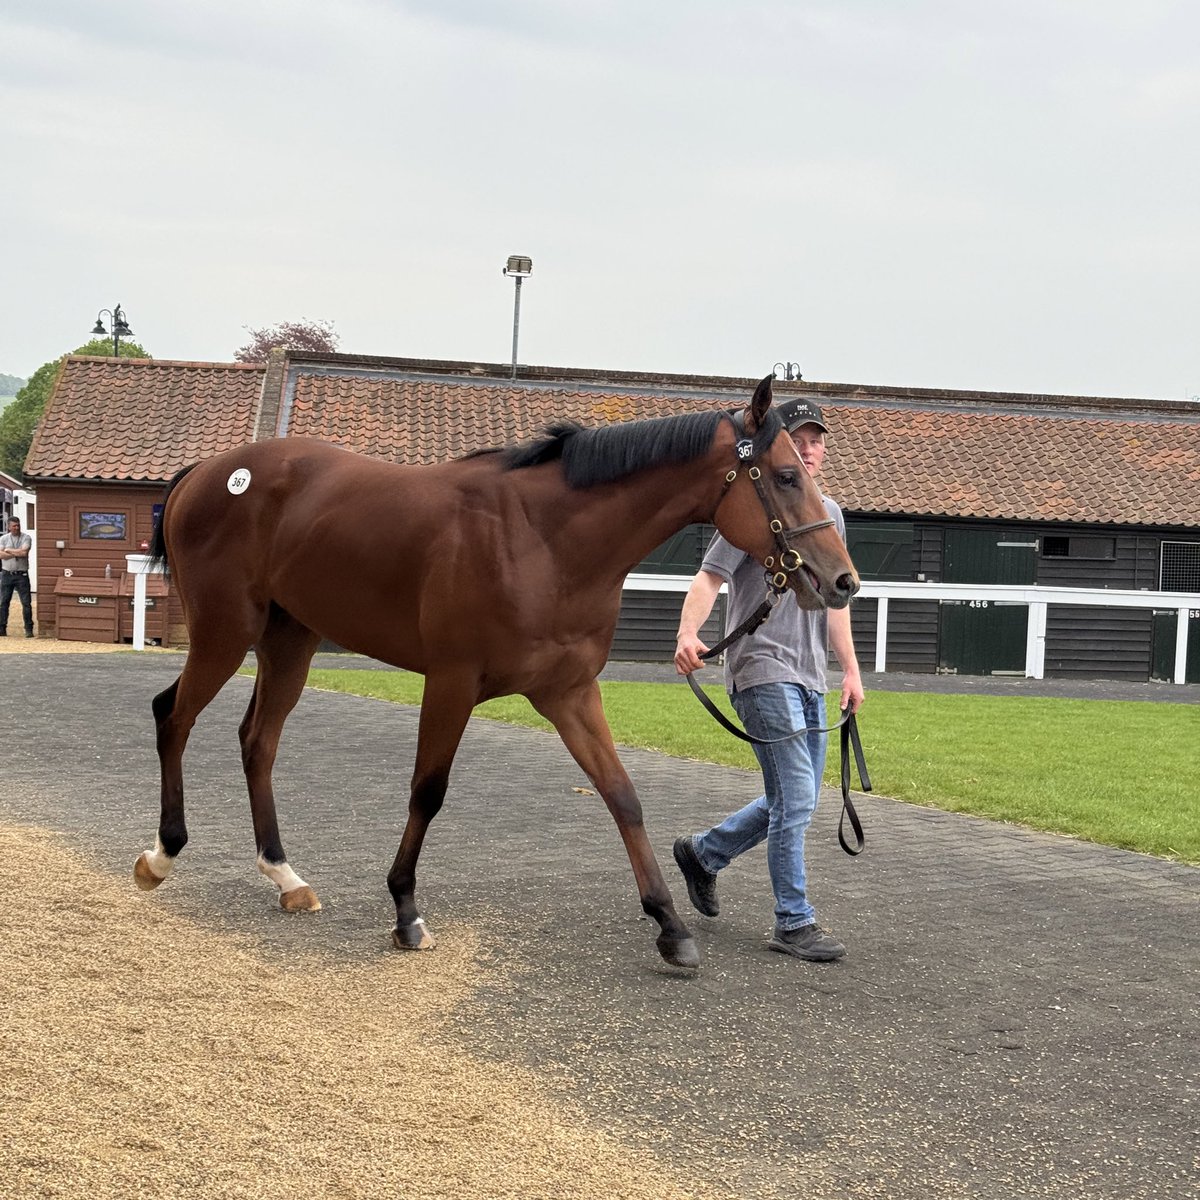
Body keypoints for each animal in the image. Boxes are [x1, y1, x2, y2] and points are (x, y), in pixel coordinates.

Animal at [136, 374, 859, 964]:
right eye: (787, 475)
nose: (842, 581)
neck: (542, 538)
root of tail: (209, 472)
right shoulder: (452, 681)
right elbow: (427, 791)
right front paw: (406, 911)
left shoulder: (569, 693)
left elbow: (622, 795)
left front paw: (670, 925)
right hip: (226, 634)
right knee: (173, 716)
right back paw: (162, 854)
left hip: (291, 640)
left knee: (257, 742)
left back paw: (286, 877)